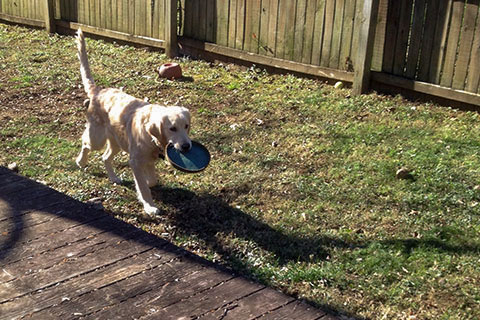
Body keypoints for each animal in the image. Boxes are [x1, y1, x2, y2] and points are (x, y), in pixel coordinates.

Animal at [75, 29, 191, 215]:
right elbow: (143, 187)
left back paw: (114, 177)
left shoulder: (148, 159)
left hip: (117, 141)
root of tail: (98, 91)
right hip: (97, 138)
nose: (187, 146)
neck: (151, 138)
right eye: (172, 128)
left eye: (186, 127)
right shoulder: (135, 161)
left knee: (105, 157)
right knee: (86, 144)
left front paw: (149, 184)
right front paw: (150, 206)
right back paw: (81, 161)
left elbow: (151, 180)